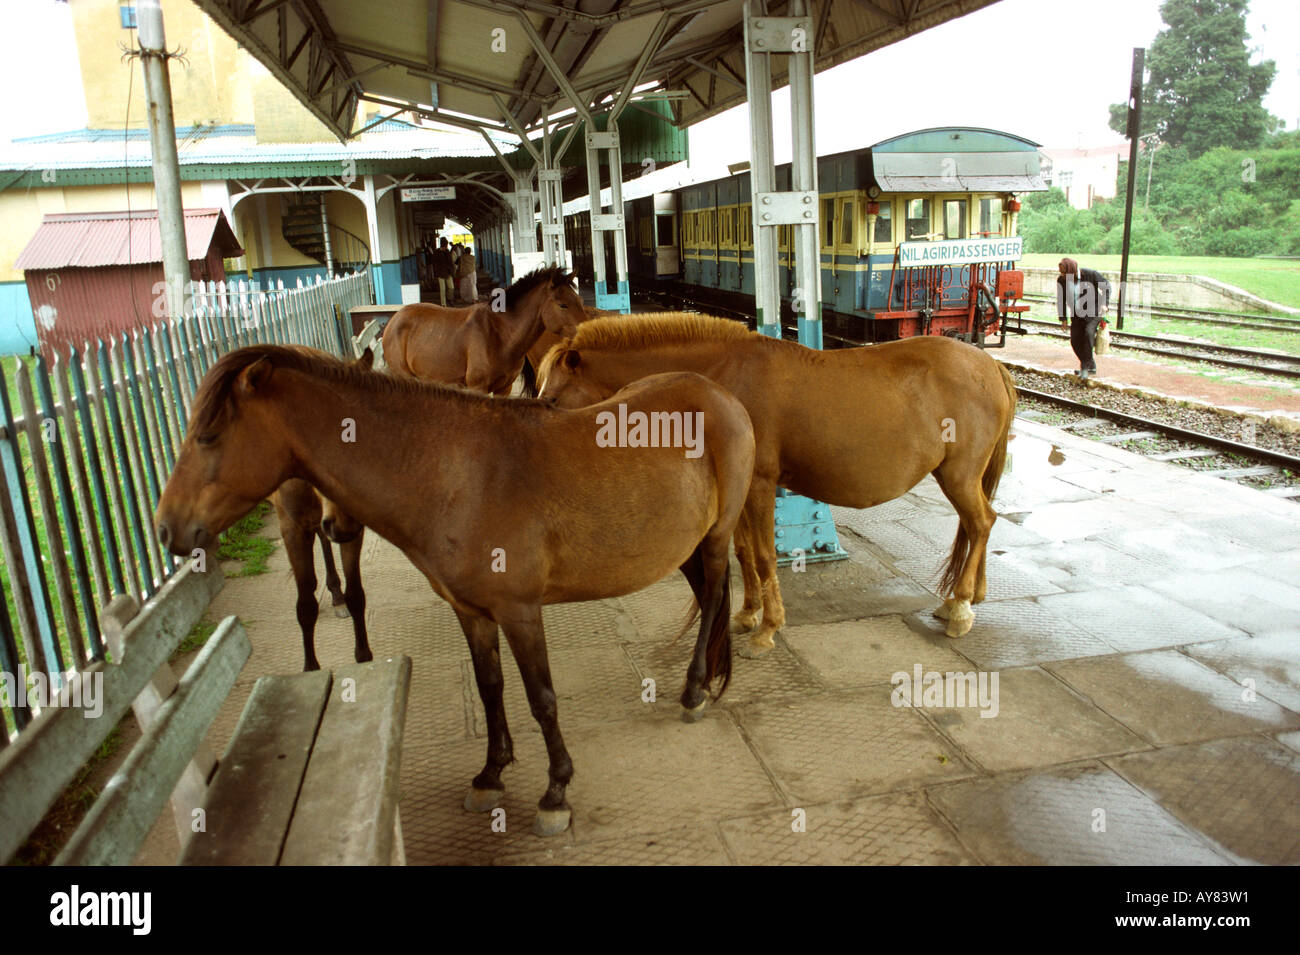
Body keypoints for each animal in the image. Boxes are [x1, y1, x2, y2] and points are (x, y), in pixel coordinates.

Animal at [154, 345, 755, 837]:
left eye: (209, 436)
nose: (166, 530)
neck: (454, 474)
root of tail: (722, 396)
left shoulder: (519, 611)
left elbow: (542, 699)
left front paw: (555, 791)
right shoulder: (472, 612)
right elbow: (491, 688)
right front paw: (491, 773)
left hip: (716, 538)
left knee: (715, 598)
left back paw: (695, 690)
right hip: (683, 546)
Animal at [381, 266, 585, 395]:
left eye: (579, 300)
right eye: (563, 305)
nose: (586, 329)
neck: (499, 334)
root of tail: (393, 321)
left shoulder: (504, 389)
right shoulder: (478, 387)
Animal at [537, 312, 1017, 654]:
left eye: (553, 397)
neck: (722, 376)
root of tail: (990, 365)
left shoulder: (760, 484)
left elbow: (766, 556)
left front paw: (767, 629)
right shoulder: (738, 489)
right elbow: (745, 553)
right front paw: (748, 613)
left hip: (958, 474)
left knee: (980, 523)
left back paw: (960, 608)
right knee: (981, 522)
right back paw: (970, 596)